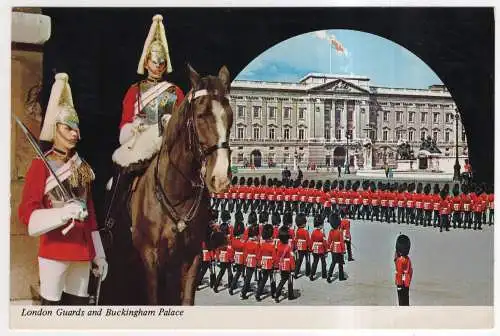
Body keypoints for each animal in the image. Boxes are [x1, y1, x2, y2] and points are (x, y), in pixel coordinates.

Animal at [128, 65, 231, 304]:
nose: (220, 179)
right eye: (201, 115)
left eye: (230, 116)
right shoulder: (150, 259)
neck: (176, 193)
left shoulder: (192, 257)